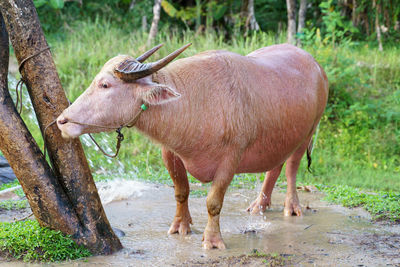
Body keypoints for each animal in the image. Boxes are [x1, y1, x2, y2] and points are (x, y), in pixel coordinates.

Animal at [57, 43, 330, 250]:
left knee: (292, 167)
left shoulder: (231, 159)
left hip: (309, 130)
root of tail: (317, 66)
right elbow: (181, 191)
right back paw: (259, 205)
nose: (62, 121)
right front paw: (181, 226)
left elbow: (213, 202)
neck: (194, 102)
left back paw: (292, 207)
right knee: (275, 167)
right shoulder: (169, 152)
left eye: (105, 85)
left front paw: (212, 240)